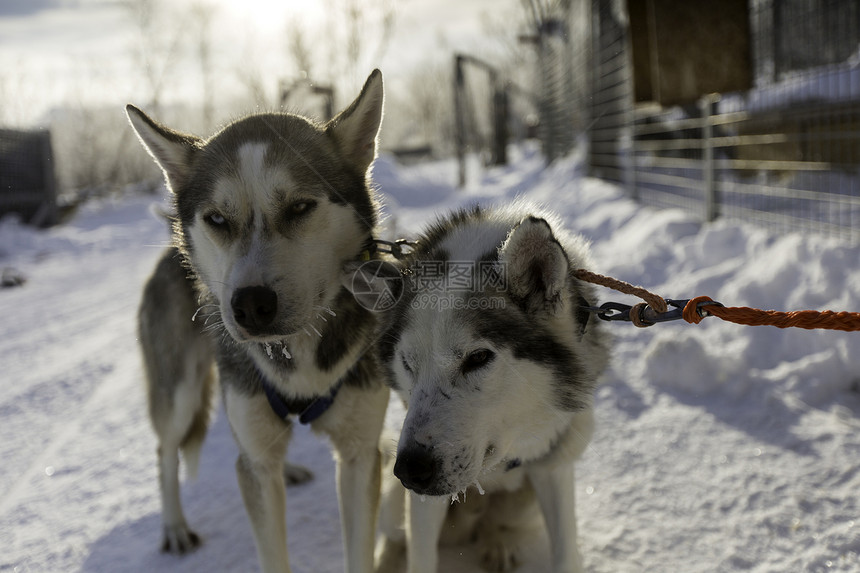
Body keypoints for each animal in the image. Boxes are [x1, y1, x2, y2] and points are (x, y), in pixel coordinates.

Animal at [128, 71, 390, 572]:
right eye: (216, 219)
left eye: (300, 207)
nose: (249, 305)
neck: (298, 354)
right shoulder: (253, 463)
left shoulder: (360, 454)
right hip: (181, 390)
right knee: (166, 449)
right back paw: (174, 527)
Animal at [346, 206, 608, 572]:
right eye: (408, 364)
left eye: (478, 358)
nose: (410, 470)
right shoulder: (421, 500)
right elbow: (420, 557)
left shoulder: (553, 465)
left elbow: (566, 554)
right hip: (393, 499)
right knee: (396, 537)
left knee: (496, 525)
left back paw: (498, 543)